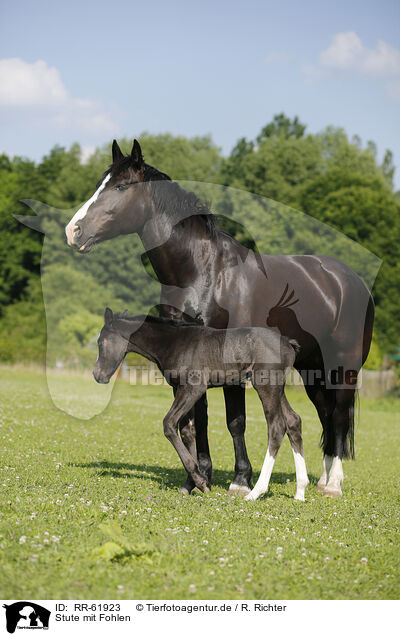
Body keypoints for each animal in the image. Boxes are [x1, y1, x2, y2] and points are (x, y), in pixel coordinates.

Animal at [94, 310, 310, 502]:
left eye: (101, 342)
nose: (98, 375)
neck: (174, 343)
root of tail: (288, 342)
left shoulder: (194, 387)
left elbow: (169, 424)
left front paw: (200, 481)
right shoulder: (180, 389)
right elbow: (188, 431)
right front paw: (193, 483)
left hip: (266, 385)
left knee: (276, 427)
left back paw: (255, 492)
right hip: (279, 390)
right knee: (293, 421)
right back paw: (300, 492)